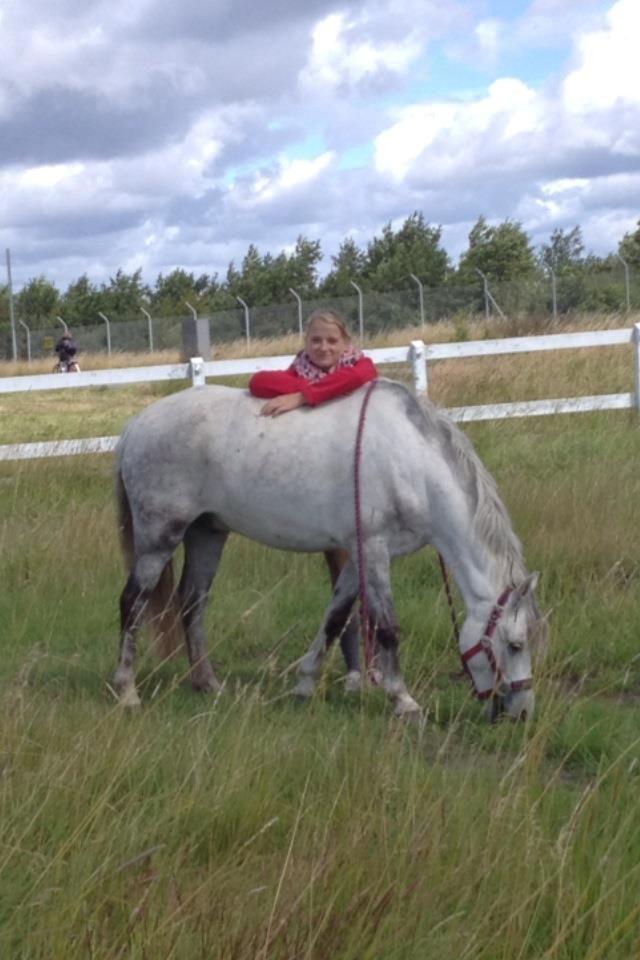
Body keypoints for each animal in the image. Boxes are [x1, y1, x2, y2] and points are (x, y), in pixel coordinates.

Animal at [113, 379, 544, 721]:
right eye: (514, 644)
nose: (521, 713)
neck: (414, 464)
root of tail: (135, 425)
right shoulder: (373, 550)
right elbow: (387, 627)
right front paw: (403, 701)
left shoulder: (357, 555)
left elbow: (335, 618)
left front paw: (305, 684)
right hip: (159, 537)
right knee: (133, 603)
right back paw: (127, 692)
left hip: (207, 533)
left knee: (192, 603)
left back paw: (207, 684)